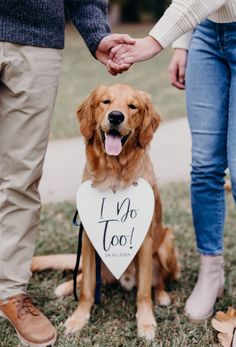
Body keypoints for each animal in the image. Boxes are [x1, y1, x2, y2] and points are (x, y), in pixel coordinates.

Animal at [31, 85, 179, 342]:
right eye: (105, 102)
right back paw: (66, 286)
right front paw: (78, 318)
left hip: (167, 243)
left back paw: (161, 296)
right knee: (83, 276)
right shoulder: (89, 237)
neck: (114, 173)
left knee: (158, 280)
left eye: (132, 106)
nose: (116, 117)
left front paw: (146, 323)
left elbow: (143, 292)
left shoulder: (145, 239)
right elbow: (87, 289)